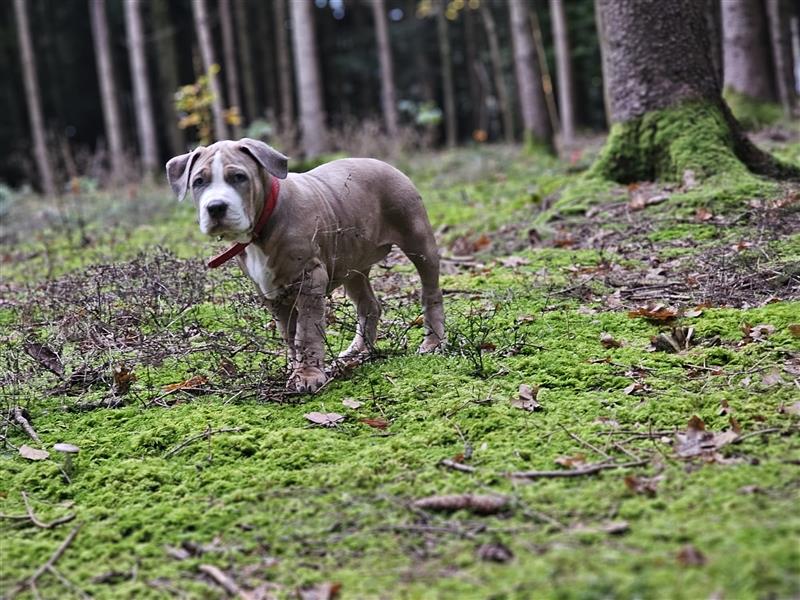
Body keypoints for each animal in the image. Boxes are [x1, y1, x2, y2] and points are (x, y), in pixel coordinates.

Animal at [166, 140, 446, 394]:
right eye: (198, 182)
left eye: (238, 177)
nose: (215, 207)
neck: (261, 227)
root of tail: (384, 163)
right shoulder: (270, 291)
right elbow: (289, 334)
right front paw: (294, 368)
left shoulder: (310, 279)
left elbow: (306, 332)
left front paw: (308, 375)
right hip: (351, 265)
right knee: (369, 306)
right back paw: (358, 351)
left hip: (417, 239)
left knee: (430, 291)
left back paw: (433, 342)